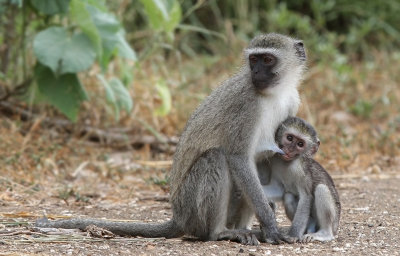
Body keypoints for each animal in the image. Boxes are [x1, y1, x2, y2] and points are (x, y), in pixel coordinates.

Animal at [36, 33, 306, 245]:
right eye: (253, 60)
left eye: (267, 59)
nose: (256, 72)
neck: (275, 92)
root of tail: (178, 216)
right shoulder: (246, 104)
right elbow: (239, 158)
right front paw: (270, 224)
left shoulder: (292, 101)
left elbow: (263, 161)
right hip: (190, 207)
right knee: (216, 158)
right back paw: (220, 233)